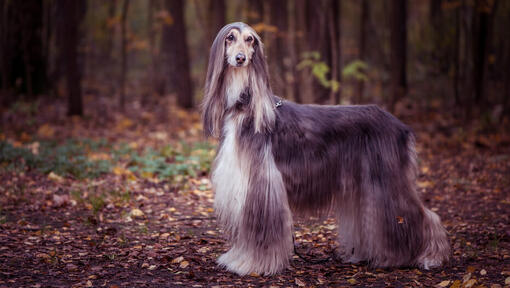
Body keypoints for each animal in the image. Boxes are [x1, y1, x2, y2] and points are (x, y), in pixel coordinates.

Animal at [201, 22, 448, 274]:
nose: (240, 59)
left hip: (387, 179)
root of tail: (401, 126)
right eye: (230, 38)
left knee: (420, 214)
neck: (245, 106)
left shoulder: (261, 182)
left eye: (250, 39)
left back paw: (429, 256)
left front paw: (251, 264)